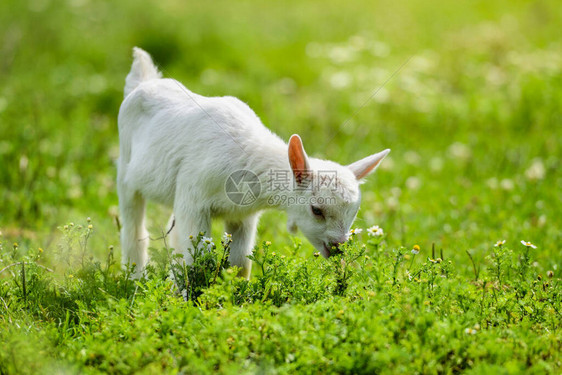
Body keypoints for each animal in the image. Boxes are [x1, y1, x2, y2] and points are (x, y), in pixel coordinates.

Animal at [117, 47, 390, 280]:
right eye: (316, 210)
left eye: (354, 212)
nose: (338, 248)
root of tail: (144, 80)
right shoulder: (194, 201)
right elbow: (197, 260)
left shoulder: (242, 216)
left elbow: (239, 264)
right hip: (126, 169)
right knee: (133, 228)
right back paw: (135, 277)